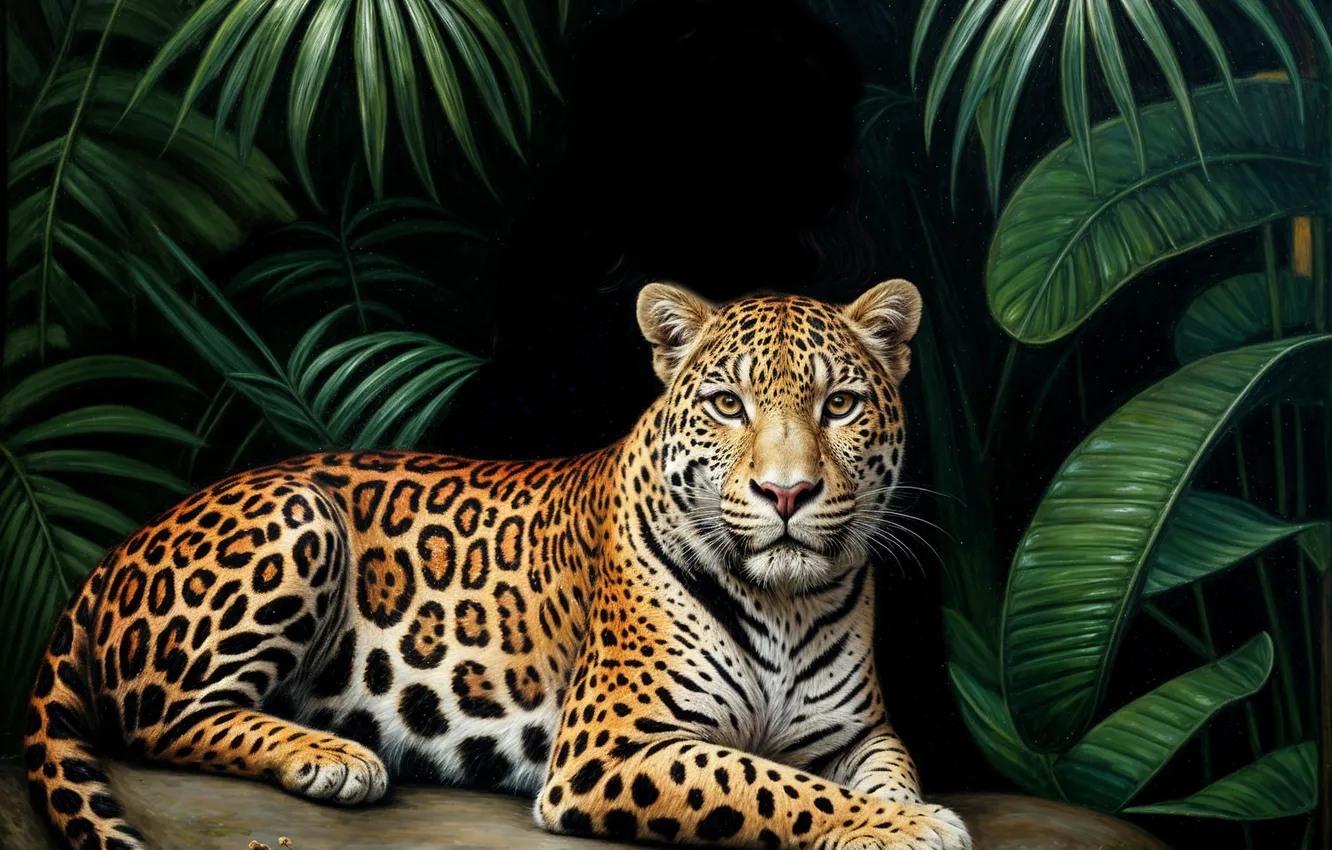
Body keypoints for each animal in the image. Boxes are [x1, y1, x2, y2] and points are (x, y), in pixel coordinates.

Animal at [25, 280, 970, 850]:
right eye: (728, 405)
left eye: (838, 403)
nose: (786, 493)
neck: (783, 602)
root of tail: (113, 553)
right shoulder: (610, 746)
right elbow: (770, 785)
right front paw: (916, 828)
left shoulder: (857, 732)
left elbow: (884, 772)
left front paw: (902, 810)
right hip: (299, 513)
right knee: (157, 720)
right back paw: (333, 756)